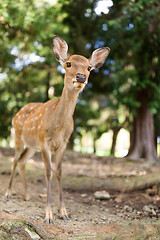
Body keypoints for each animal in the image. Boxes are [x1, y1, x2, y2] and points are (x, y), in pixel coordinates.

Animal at [5, 35, 110, 223]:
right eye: (68, 63)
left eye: (89, 67)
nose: (81, 77)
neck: (58, 128)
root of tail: (16, 113)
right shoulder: (44, 142)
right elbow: (48, 172)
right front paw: (48, 215)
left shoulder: (63, 143)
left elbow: (60, 172)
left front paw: (64, 212)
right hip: (17, 136)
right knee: (15, 160)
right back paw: (9, 193)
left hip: (31, 146)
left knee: (23, 161)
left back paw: (27, 195)